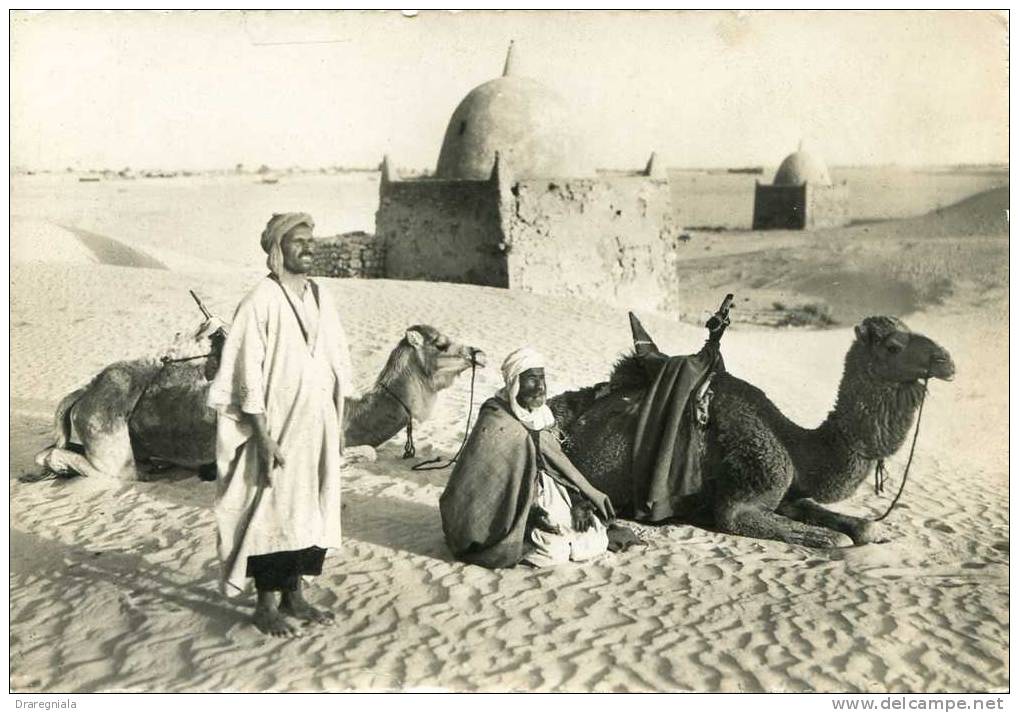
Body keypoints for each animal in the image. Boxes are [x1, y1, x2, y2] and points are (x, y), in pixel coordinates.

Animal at [33, 319, 487, 482]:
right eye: (441, 343)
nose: (478, 353)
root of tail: (84, 392)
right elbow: (366, 455)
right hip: (110, 443)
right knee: (84, 463)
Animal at [550, 313, 953, 550]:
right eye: (893, 346)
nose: (947, 360)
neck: (796, 447)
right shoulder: (747, 488)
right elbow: (836, 539)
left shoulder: (787, 493)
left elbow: (863, 526)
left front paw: (867, 529)